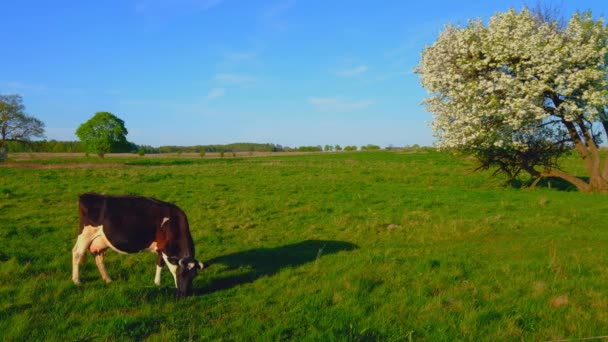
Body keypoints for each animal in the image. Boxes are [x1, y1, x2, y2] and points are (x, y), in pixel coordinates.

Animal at [71, 192, 204, 296]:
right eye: (181, 273)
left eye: (194, 276)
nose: (185, 294)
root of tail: (87, 195)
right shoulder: (165, 249)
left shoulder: (162, 247)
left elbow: (160, 263)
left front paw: (157, 283)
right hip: (86, 234)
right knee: (77, 253)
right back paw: (77, 281)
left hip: (100, 241)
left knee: (98, 258)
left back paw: (108, 279)